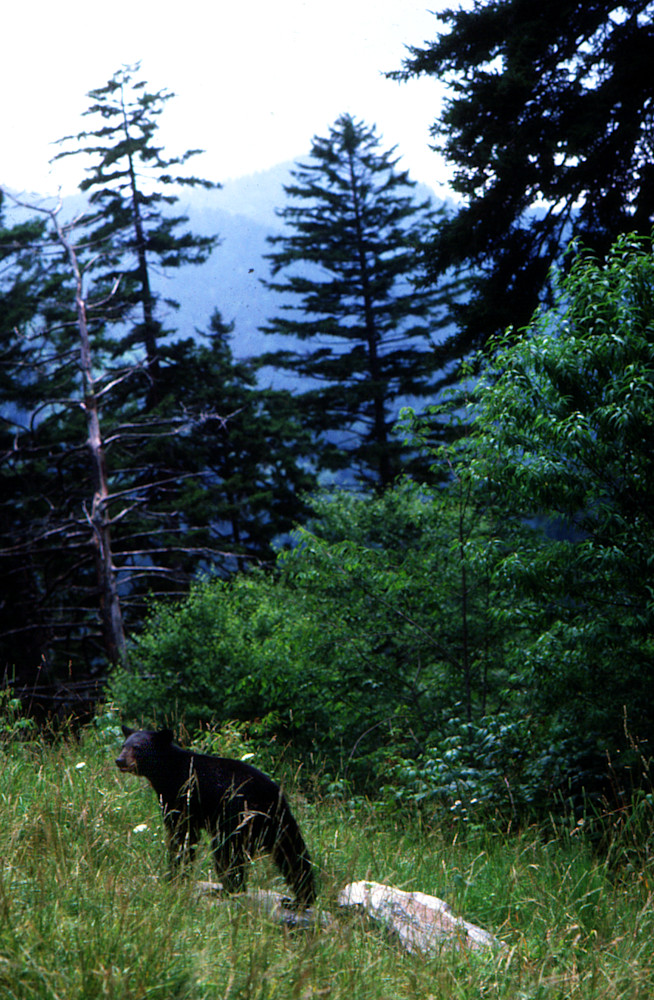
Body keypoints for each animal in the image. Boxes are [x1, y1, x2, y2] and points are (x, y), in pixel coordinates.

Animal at [115, 726, 316, 907]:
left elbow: (181, 836)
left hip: (237, 820)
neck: (168, 772)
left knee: (228, 855)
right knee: (292, 854)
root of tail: (274, 796)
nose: (120, 760)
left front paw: (174, 874)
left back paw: (226, 890)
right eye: (124, 745)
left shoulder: (183, 798)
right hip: (276, 825)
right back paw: (302, 899)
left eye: (137, 747)